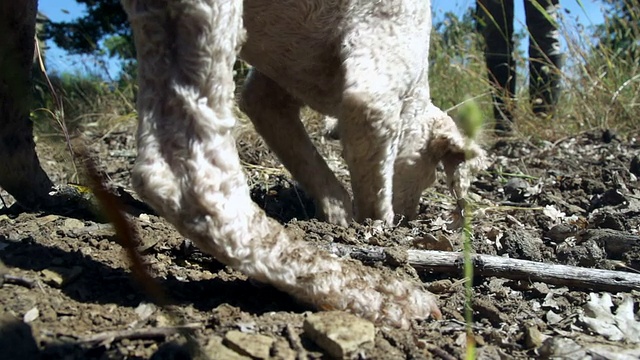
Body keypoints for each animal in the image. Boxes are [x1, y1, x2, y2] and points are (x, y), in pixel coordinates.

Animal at [122, 0, 484, 328]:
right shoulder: (377, 80)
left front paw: (339, 218)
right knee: (190, 177)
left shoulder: (270, 90)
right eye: (430, 178)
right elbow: (375, 187)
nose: (409, 220)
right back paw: (368, 291)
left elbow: (292, 141)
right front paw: (374, 230)